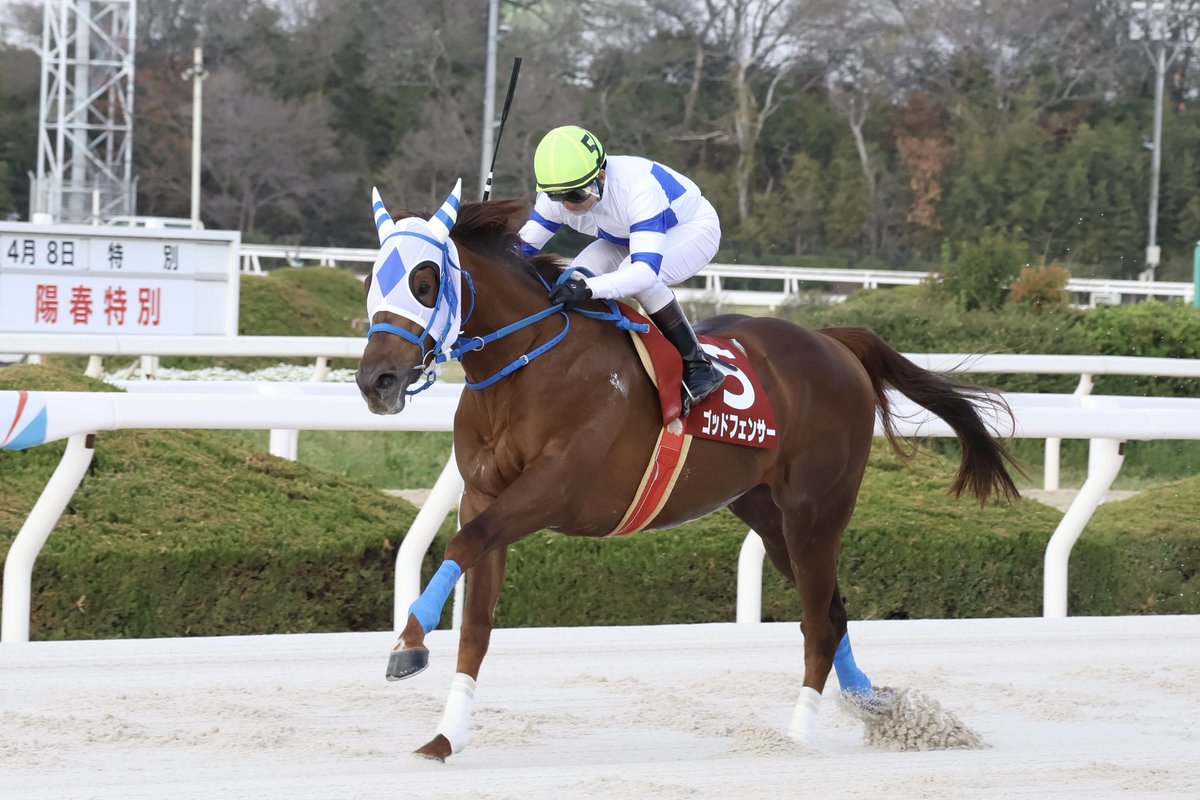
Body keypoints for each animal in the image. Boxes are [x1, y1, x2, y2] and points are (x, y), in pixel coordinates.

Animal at [355, 181, 1020, 762]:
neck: (527, 367)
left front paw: (408, 642)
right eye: (370, 280)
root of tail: (834, 341)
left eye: (423, 281)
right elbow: (476, 621)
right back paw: (874, 704)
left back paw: (797, 737)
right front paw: (444, 737)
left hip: (816, 511)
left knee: (817, 621)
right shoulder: (483, 493)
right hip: (766, 514)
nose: (375, 381)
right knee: (833, 612)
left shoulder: (553, 491)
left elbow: (465, 543)